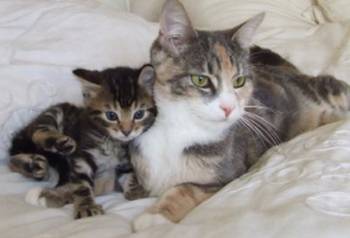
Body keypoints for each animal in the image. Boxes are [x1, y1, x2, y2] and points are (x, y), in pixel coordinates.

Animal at [8, 64, 156, 218]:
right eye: (111, 115)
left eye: (139, 114)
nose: (126, 132)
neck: (113, 142)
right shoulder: (82, 154)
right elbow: (81, 184)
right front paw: (86, 207)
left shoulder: (126, 160)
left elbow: (129, 174)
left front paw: (135, 191)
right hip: (56, 112)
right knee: (36, 133)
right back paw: (59, 145)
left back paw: (33, 166)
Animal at [130, 0, 350, 231]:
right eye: (200, 80)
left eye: (239, 81)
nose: (228, 107)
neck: (179, 128)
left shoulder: (230, 174)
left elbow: (187, 188)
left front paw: (155, 215)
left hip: (322, 90)